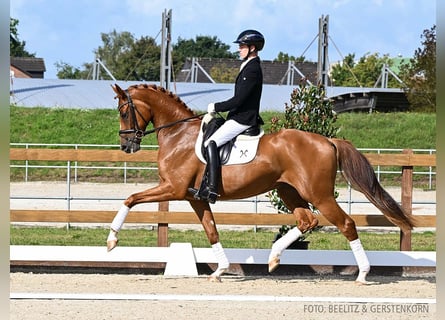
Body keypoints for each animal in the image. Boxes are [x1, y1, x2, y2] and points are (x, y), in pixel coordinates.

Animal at [106, 82, 414, 282]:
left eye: (123, 112)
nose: (126, 146)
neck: (178, 134)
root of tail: (327, 139)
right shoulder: (195, 197)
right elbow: (211, 231)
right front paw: (220, 270)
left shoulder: (174, 188)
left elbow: (130, 199)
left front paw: (112, 241)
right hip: (288, 190)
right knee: (307, 221)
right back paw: (274, 258)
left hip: (319, 194)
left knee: (345, 224)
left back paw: (362, 274)